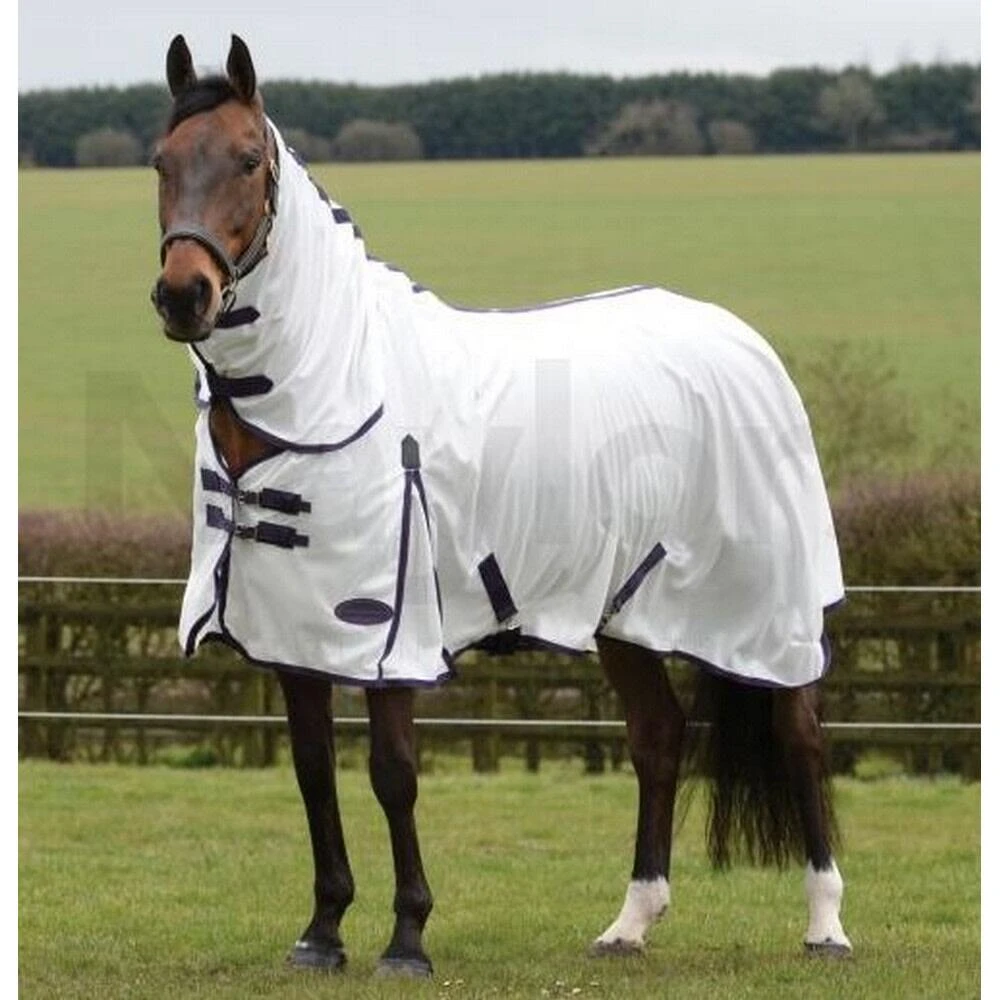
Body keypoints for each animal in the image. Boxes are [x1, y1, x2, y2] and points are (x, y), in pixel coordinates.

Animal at [150, 34, 853, 977]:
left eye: (249, 160)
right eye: (161, 161)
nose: (183, 295)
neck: (337, 381)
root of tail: (742, 343)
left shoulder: (391, 635)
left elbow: (393, 771)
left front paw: (407, 937)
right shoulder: (291, 634)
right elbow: (311, 771)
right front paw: (322, 932)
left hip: (768, 608)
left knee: (800, 737)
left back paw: (826, 926)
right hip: (624, 611)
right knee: (658, 738)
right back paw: (628, 925)